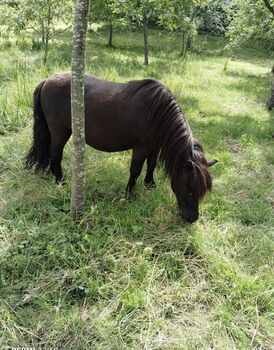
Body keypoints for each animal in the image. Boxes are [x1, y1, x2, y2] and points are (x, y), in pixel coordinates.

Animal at [26, 72, 218, 223]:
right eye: (190, 188)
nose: (192, 219)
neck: (157, 112)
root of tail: (48, 80)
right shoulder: (141, 147)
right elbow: (135, 170)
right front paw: (128, 194)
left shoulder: (154, 146)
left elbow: (152, 165)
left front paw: (150, 185)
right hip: (60, 131)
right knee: (55, 155)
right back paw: (60, 181)